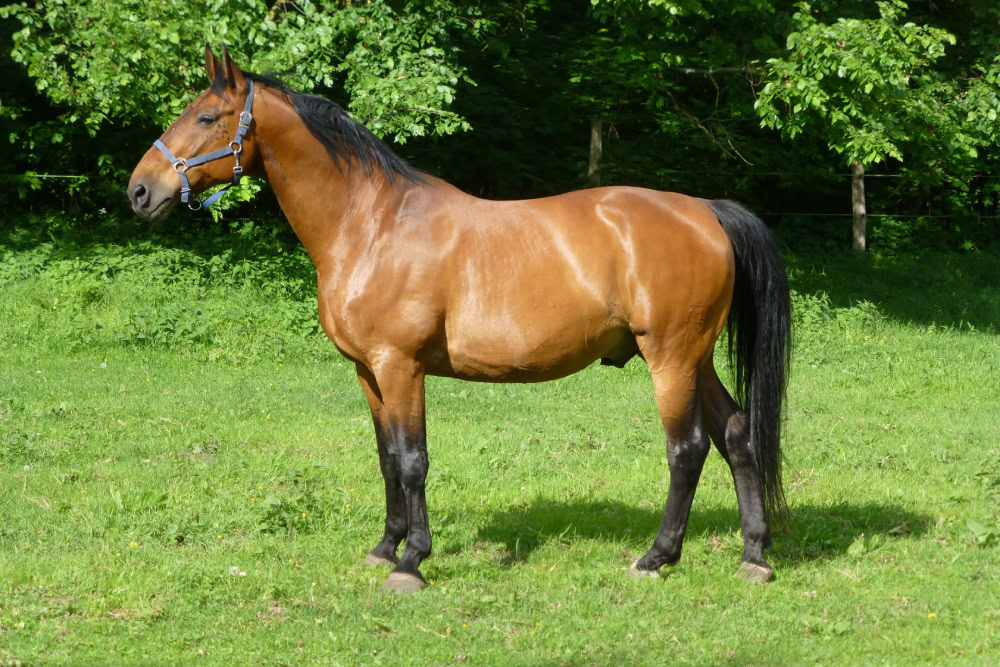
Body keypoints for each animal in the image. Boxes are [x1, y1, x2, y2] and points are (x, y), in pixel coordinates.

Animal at [129, 46, 791, 593]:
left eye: (207, 118)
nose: (139, 191)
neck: (372, 224)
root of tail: (705, 211)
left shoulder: (401, 367)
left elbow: (413, 459)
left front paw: (410, 563)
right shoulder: (369, 373)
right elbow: (386, 458)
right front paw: (385, 547)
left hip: (670, 357)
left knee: (687, 449)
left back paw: (656, 557)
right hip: (695, 357)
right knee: (736, 435)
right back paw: (754, 556)